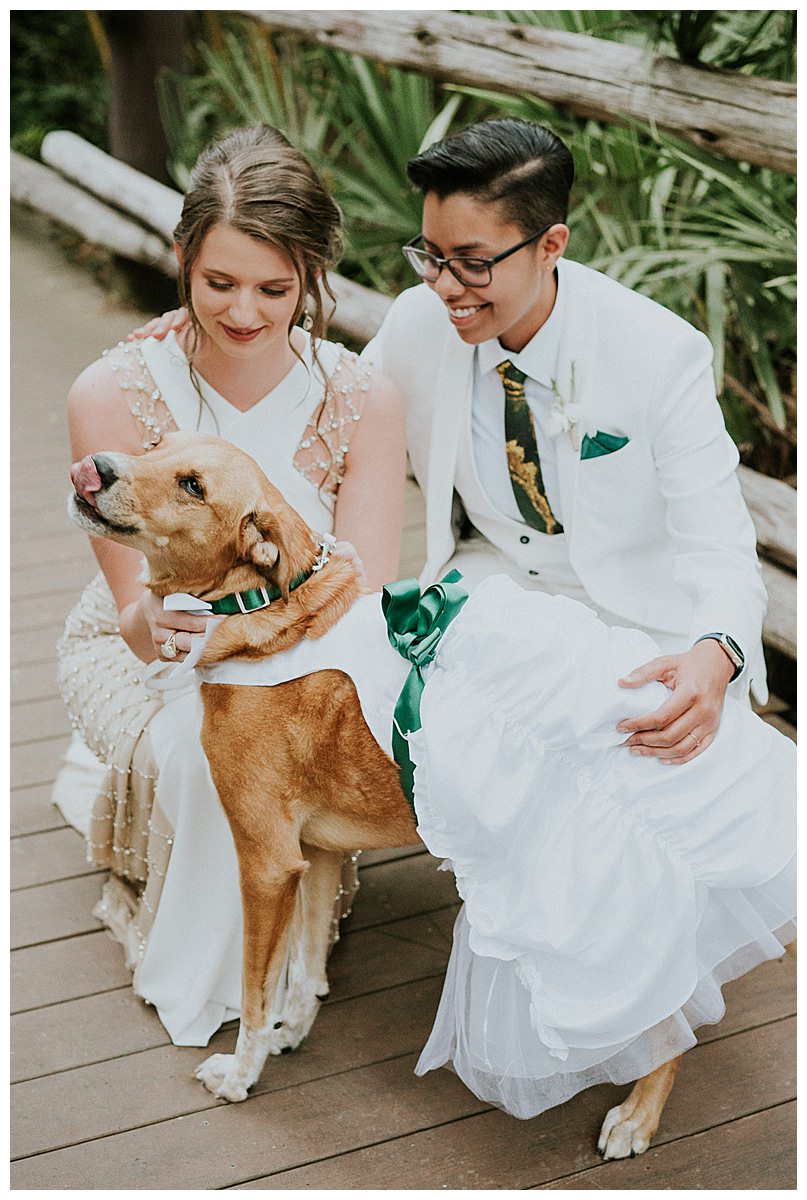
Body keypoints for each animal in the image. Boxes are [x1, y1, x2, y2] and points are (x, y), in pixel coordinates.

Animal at [70, 429, 682, 1152]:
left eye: (193, 485)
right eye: (156, 443)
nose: (96, 466)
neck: (260, 610)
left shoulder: (265, 863)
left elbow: (254, 992)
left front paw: (241, 1074)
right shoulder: (315, 856)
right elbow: (306, 969)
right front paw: (291, 1034)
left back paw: (637, 1118)